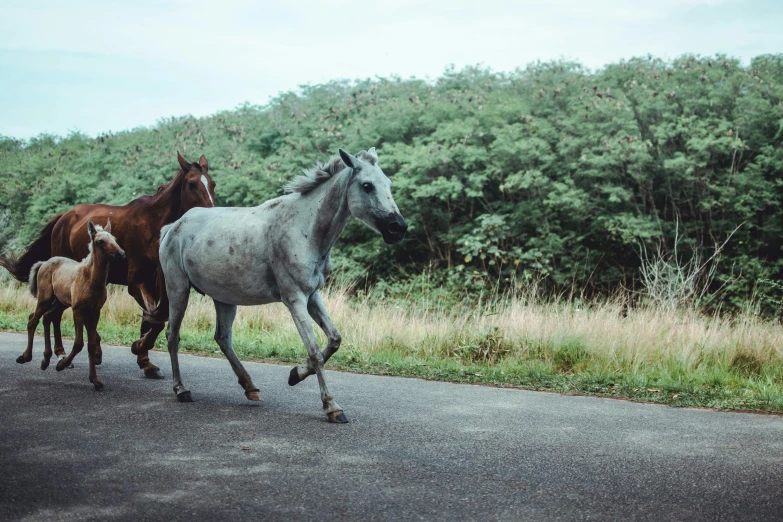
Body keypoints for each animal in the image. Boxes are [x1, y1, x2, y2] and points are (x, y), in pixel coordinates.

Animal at [18, 217, 125, 388]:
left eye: (114, 239)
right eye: (100, 241)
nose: (121, 254)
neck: (91, 280)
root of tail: (43, 263)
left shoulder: (95, 311)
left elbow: (91, 343)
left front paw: (95, 380)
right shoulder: (78, 310)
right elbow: (79, 343)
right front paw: (61, 365)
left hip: (60, 302)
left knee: (46, 317)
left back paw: (45, 359)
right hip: (45, 299)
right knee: (33, 320)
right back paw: (26, 356)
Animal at [157, 144, 408, 420]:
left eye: (388, 183)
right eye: (367, 186)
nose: (398, 228)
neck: (304, 229)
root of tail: (173, 227)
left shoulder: (312, 296)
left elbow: (334, 340)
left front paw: (295, 374)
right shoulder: (294, 299)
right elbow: (315, 351)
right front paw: (332, 406)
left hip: (224, 298)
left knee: (223, 338)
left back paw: (250, 387)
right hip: (178, 289)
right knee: (173, 335)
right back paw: (181, 389)